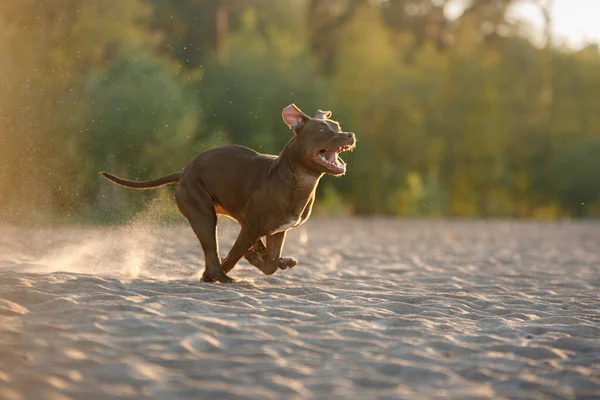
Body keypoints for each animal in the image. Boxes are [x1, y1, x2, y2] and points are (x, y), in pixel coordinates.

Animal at [101, 104, 356, 282]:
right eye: (322, 129)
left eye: (338, 127)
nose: (350, 134)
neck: (298, 179)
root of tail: (183, 172)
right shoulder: (251, 227)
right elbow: (237, 255)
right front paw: (244, 260)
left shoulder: (276, 231)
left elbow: (271, 262)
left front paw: (268, 258)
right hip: (204, 216)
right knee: (212, 254)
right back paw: (219, 276)